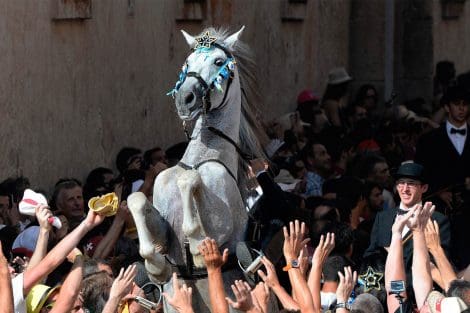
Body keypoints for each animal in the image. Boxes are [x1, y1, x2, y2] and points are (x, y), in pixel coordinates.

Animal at [127, 27, 272, 312]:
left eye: (218, 62)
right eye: (187, 63)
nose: (185, 99)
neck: (203, 157)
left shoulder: (222, 224)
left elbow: (190, 181)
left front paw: (197, 248)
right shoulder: (165, 229)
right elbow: (136, 199)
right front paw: (156, 267)